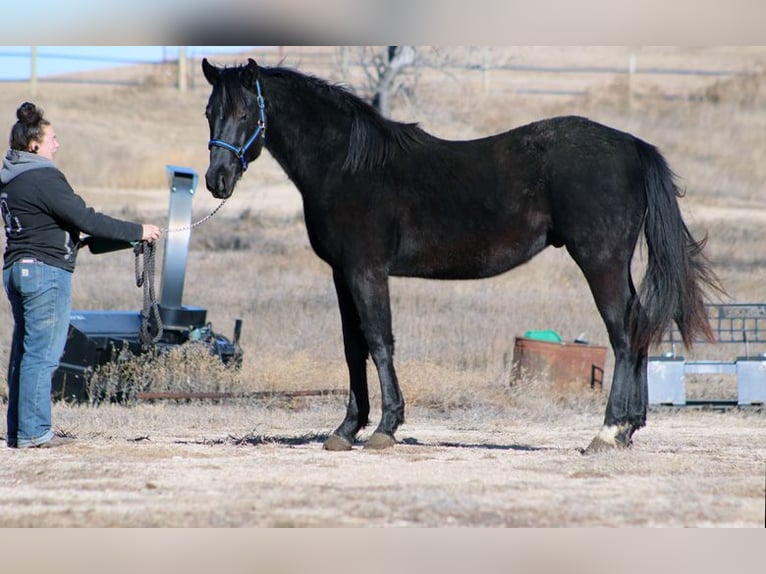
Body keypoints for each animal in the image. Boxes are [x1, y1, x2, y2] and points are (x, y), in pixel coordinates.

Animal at [201, 58, 720, 453]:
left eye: (246, 113)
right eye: (210, 112)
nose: (216, 180)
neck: (348, 165)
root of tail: (634, 146)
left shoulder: (367, 271)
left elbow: (379, 341)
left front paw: (386, 428)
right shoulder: (341, 274)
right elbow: (353, 348)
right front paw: (346, 430)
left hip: (601, 261)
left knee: (623, 332)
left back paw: (609, 431)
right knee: (639, 326)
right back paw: (630, 429)